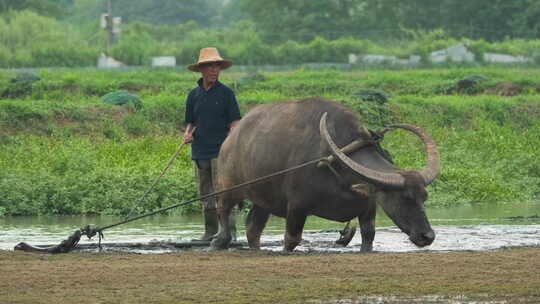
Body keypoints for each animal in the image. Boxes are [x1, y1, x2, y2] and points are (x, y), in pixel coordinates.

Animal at [210, 97, 438, 252]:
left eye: (424, 197)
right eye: (403, 198)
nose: (427, 236)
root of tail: (232, 136)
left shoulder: (368, 208)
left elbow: (369, 236)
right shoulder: (296, 207)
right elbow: (291, 240)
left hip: (263, 200)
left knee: (253, 229)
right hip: (227, 185)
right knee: (223, 210)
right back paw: (218, 240)